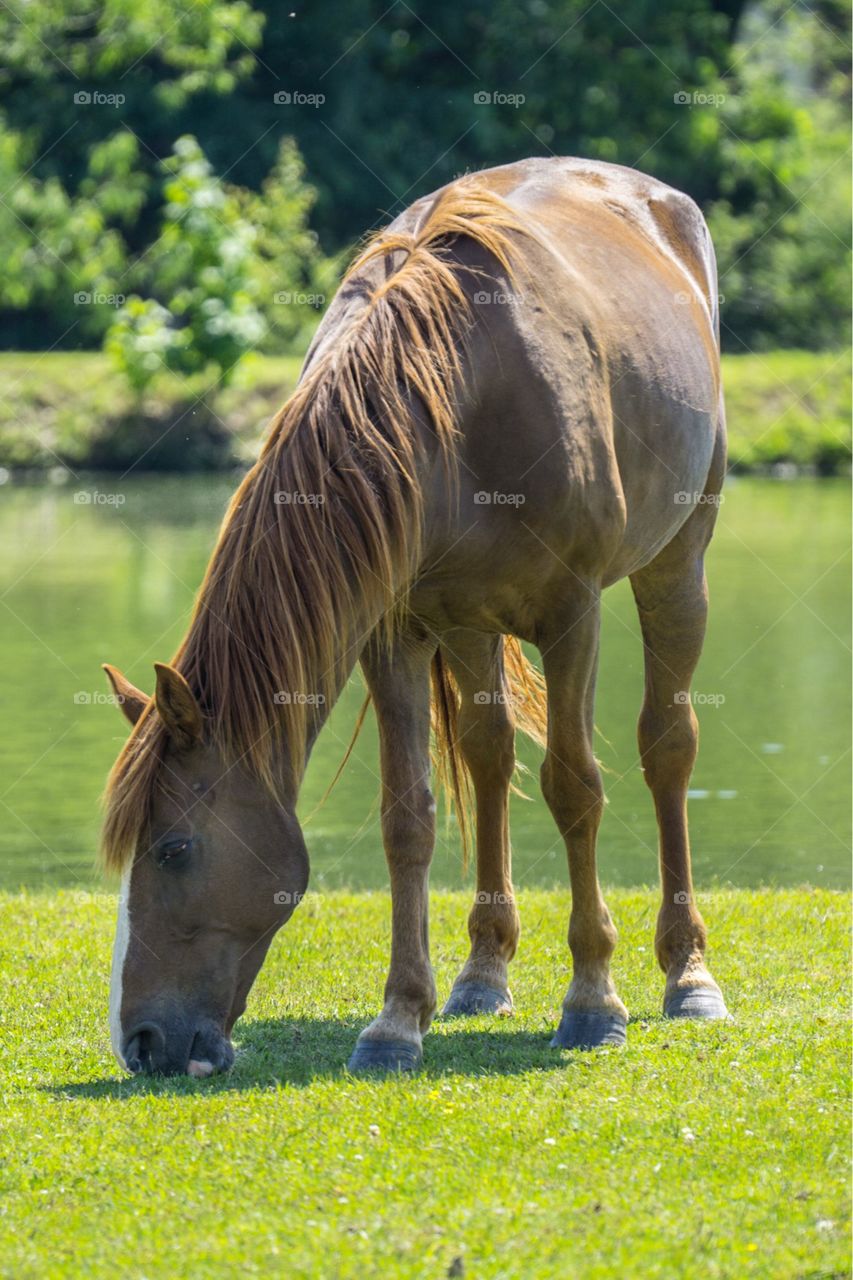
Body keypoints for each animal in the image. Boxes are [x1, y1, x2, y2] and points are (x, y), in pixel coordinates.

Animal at [99, 154, 722, 1075]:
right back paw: (482, 975)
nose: (140, 1041)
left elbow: (574, 789)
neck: (458, 393)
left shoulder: (571, 615)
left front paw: (591, 1001)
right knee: (489, 756)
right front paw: (399, 1019)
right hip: (466, 626)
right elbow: (408, 818)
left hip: (676, 564)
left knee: (666, 748)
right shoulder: (391, 635)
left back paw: (687, 975)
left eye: (173, 849)